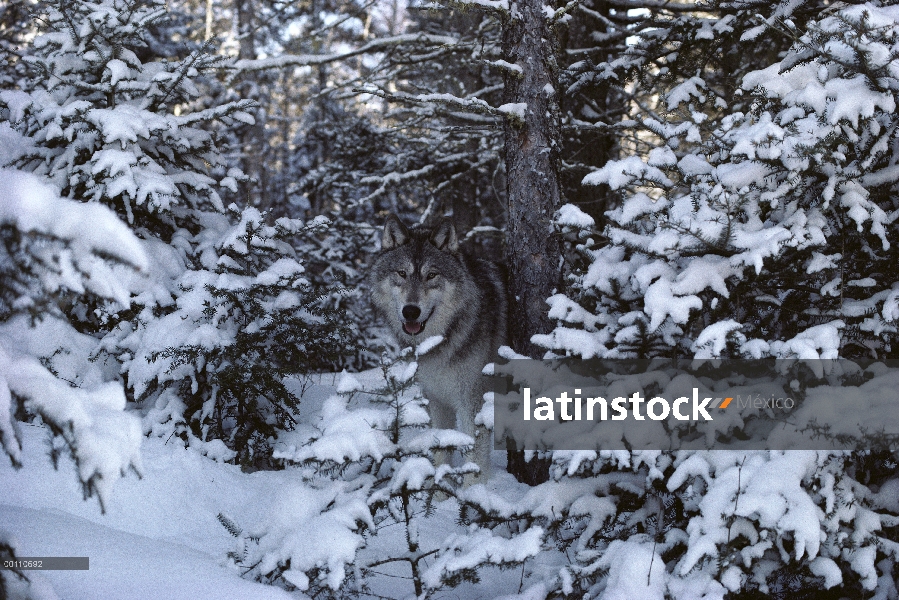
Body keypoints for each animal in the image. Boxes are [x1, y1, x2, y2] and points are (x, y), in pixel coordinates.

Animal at [366, 216, 506, 482]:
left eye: (431, 275)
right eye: (402, 273)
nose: (411, 311)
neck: (440, 344)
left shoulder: (473, 405)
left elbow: (474, 463)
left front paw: (473, 493)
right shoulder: (437, 400)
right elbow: (441, 450)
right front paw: (439, 491)